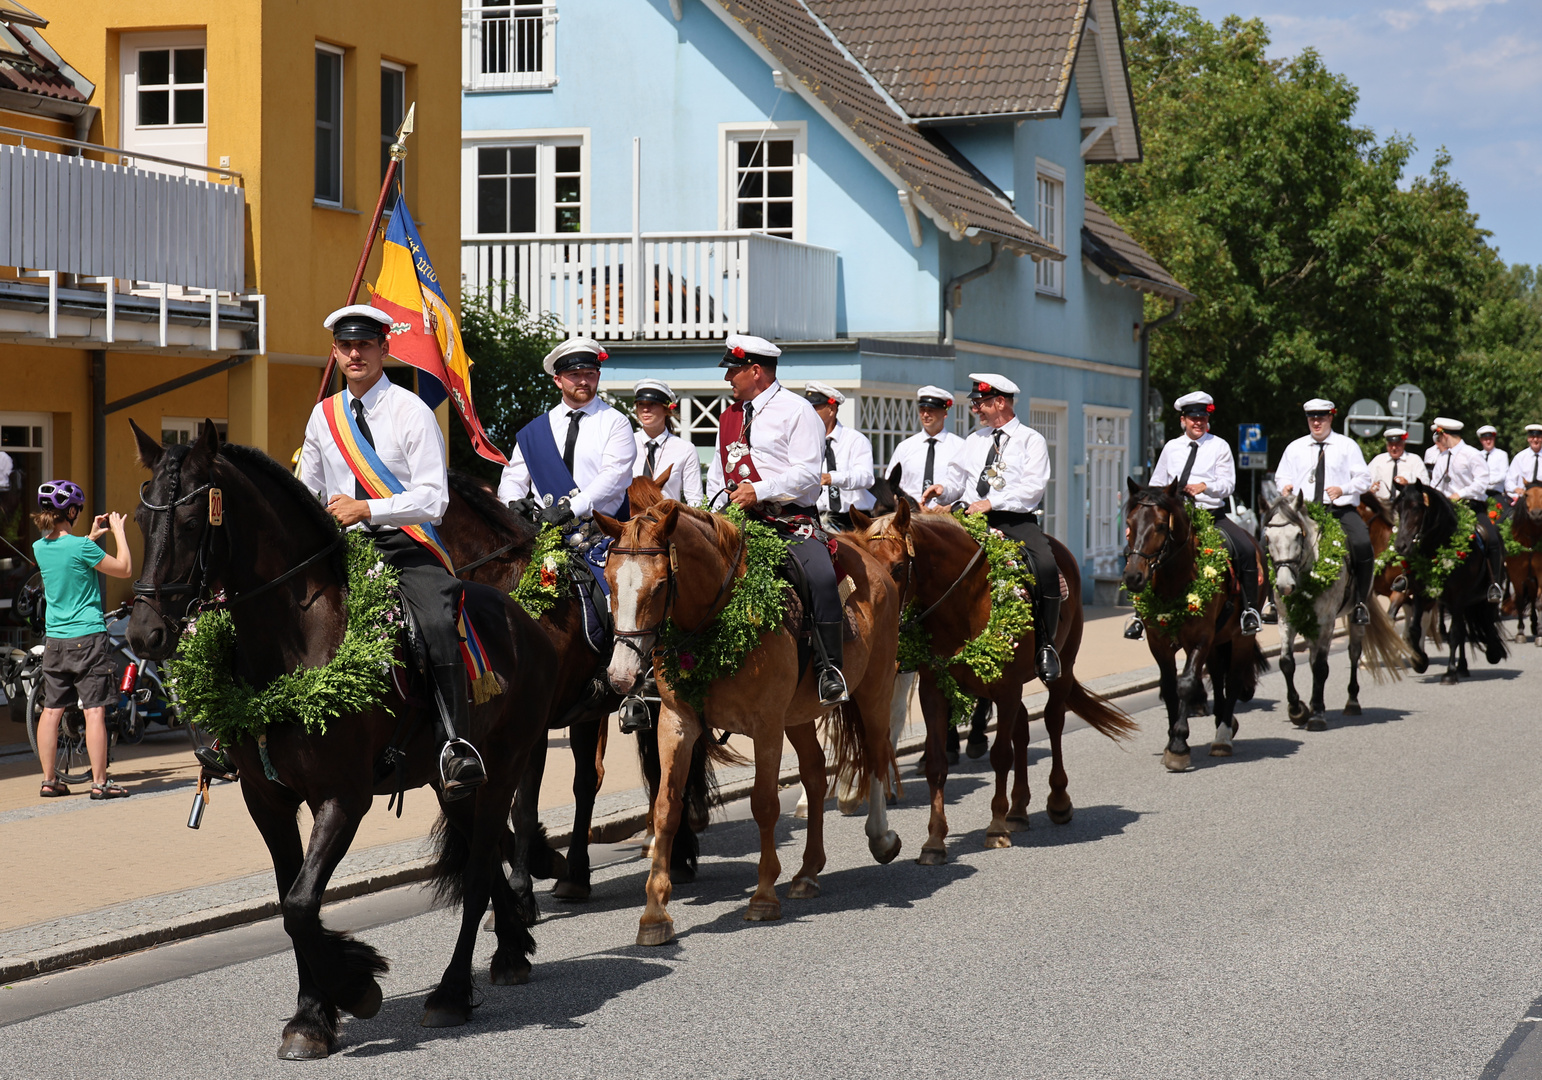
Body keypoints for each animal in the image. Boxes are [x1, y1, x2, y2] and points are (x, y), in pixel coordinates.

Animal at [595, 499, 900, 944]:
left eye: (659, 586)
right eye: (610, 582)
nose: (621, 676)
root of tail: (872, 561)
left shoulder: (766, 725)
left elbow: (765, 803)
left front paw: (763, 897)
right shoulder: (676, 722)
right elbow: (666, 807)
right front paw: (654, 914)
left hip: (875, 688)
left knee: (877, 754)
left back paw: (881, 838)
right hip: (798, 715)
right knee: (814, 773)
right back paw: (807, 872)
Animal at [857, 496, 1134, 857]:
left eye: (897, 568)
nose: (880, 624)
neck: (964, 601)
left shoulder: (1006, 688)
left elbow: (1001, 756)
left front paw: (996, 828)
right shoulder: (934, 691)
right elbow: (937, 763)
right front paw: (934, 841)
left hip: (1060, 671)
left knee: (1053, 723)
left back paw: (1057, 802)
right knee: (1023, 731)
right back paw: (1018, 810)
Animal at [1122, 478, 1264, 768]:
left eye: (1161, 525)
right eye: (1129, 523)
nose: (1133, 577)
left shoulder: (1200, 638)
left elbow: (1186, 683)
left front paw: (1178, 744)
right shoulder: (1159, 643)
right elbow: (1169, 687)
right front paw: (1171, 739)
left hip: (1240, 638)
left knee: (1233, 680)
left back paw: (1223, 736)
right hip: (1218, 641)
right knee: (1218, 675)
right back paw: (1223, 720)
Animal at [1387, 481, 1504, 681]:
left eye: (1416, 507)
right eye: (1399, 509)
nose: (1401, 546)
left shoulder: (1457, 597)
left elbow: (1455, 634)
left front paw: (1449, 673)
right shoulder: (1421, 593)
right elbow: (1414, 629)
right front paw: (1420, 660)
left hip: (1482, 595)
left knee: (1487, 619)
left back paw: (1492, 652)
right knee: (1465, 628)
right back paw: (1463, 667)